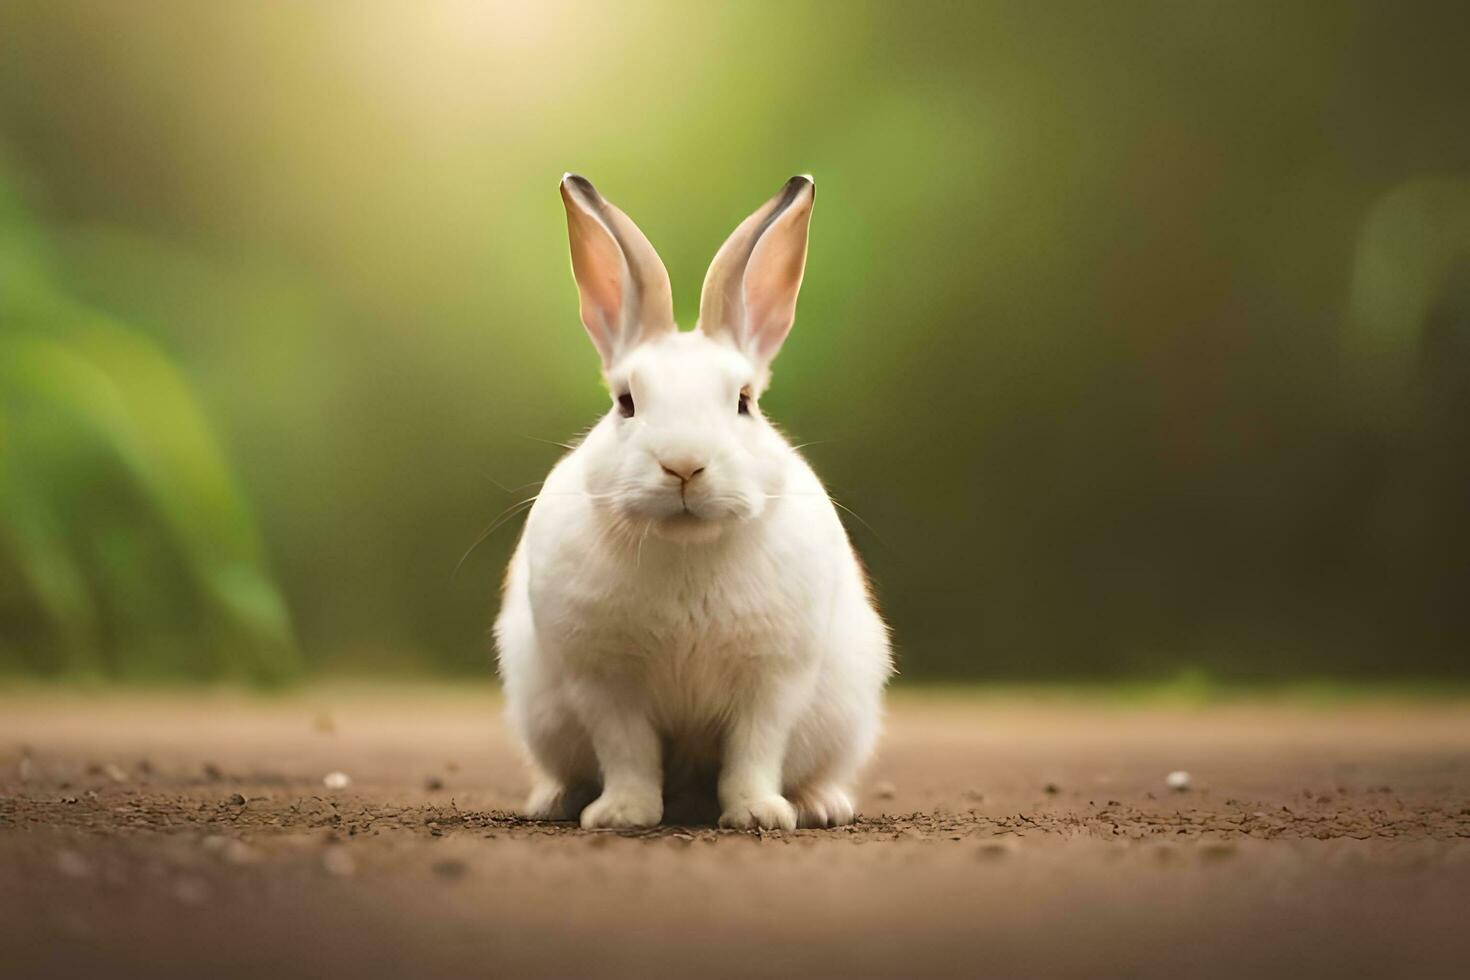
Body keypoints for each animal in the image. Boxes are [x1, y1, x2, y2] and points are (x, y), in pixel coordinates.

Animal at [493, 174, 887, 828]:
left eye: (745, 401)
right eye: (625, 402)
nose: (683, 464)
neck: (686, 544)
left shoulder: (773, 682)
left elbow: (755, 752)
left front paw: (759, 815)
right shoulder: (604, 683)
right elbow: (626, 752)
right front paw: (621, 815)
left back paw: (819, 805)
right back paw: (556, 801)